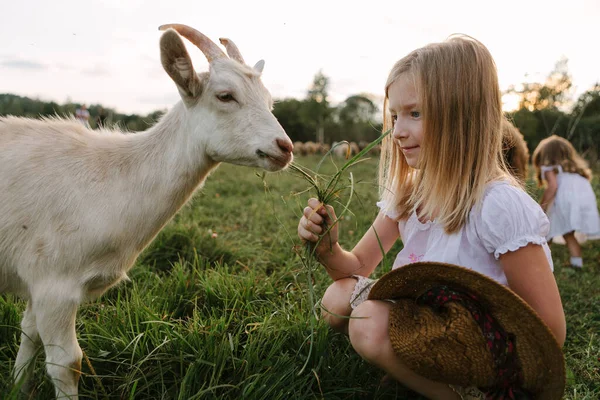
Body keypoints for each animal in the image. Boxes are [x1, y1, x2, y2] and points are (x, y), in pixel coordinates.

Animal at [0, 23, 292, 398]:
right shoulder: (55, 282)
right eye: (225, 96)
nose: (285, 147)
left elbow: (28, 333)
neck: (111, 178)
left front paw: (17, 387)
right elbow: (67, 363)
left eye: (270, 101)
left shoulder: (37, 281)